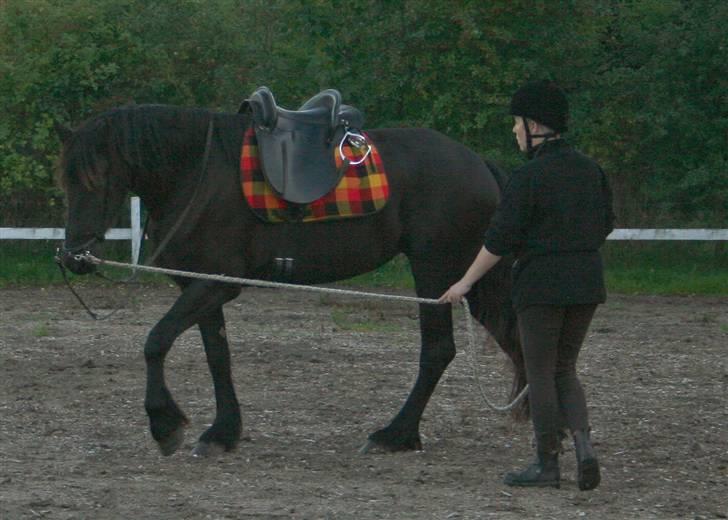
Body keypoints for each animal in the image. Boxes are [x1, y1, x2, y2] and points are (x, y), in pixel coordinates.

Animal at [55, 103, 524, 458]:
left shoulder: (217, 283)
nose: (74, 257)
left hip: (435, 271)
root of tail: (479, 164)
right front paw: (223, 432)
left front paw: (164, 424)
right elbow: (217, 356)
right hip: (469, 280)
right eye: (67, 180)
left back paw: (395, 434)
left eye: (97, 178)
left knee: (439, 350)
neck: (198, 177)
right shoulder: (202, 285)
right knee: (512, 339)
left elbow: (155, 342)